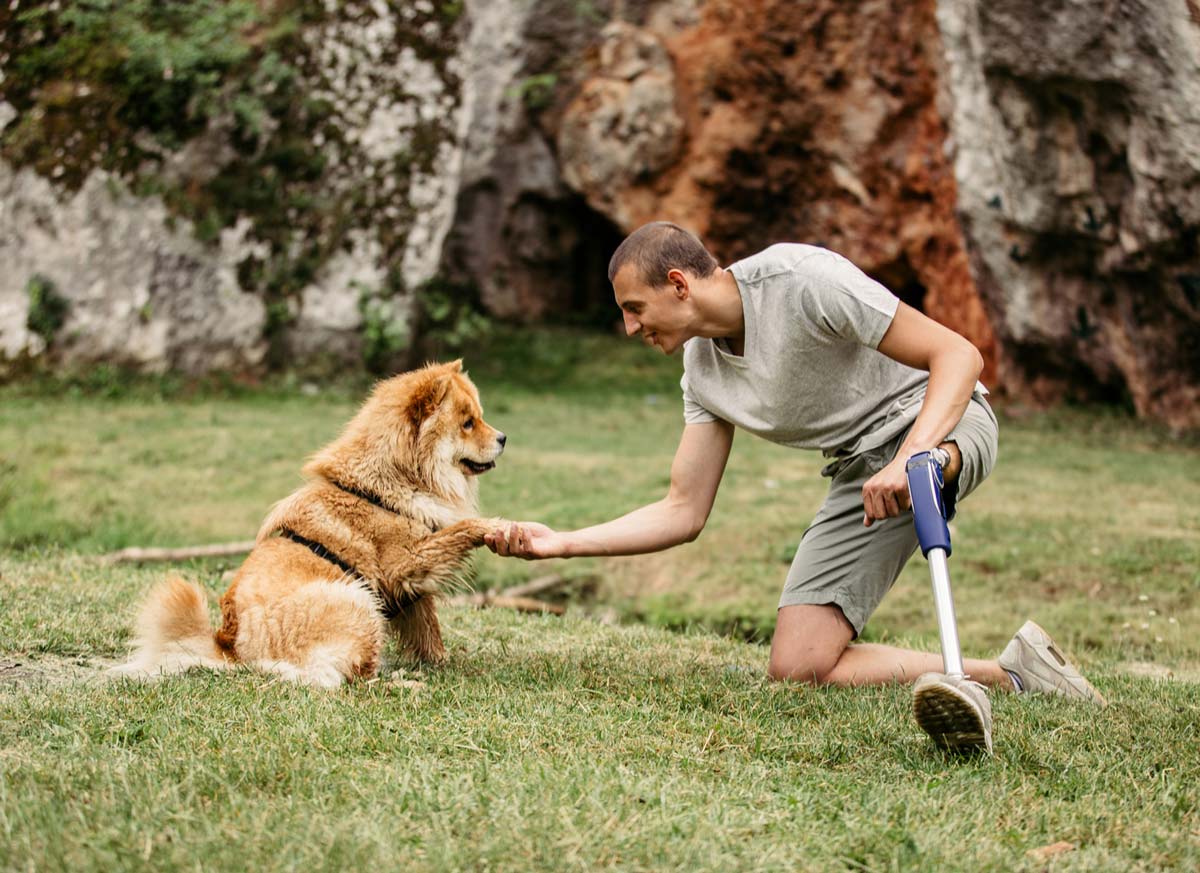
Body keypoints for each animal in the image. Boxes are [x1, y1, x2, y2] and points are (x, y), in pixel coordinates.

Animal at [110, 357, 504, 685]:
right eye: (468, 424)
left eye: (479, 417)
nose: (503, 437)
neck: (385, 484)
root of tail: (229, 644)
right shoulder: (405, 563)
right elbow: (461, 530)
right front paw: (493, 526)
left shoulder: (407, 591)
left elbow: (428, 629)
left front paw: (439, 661)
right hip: (356, 600)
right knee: (350, 678)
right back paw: (401, 683)